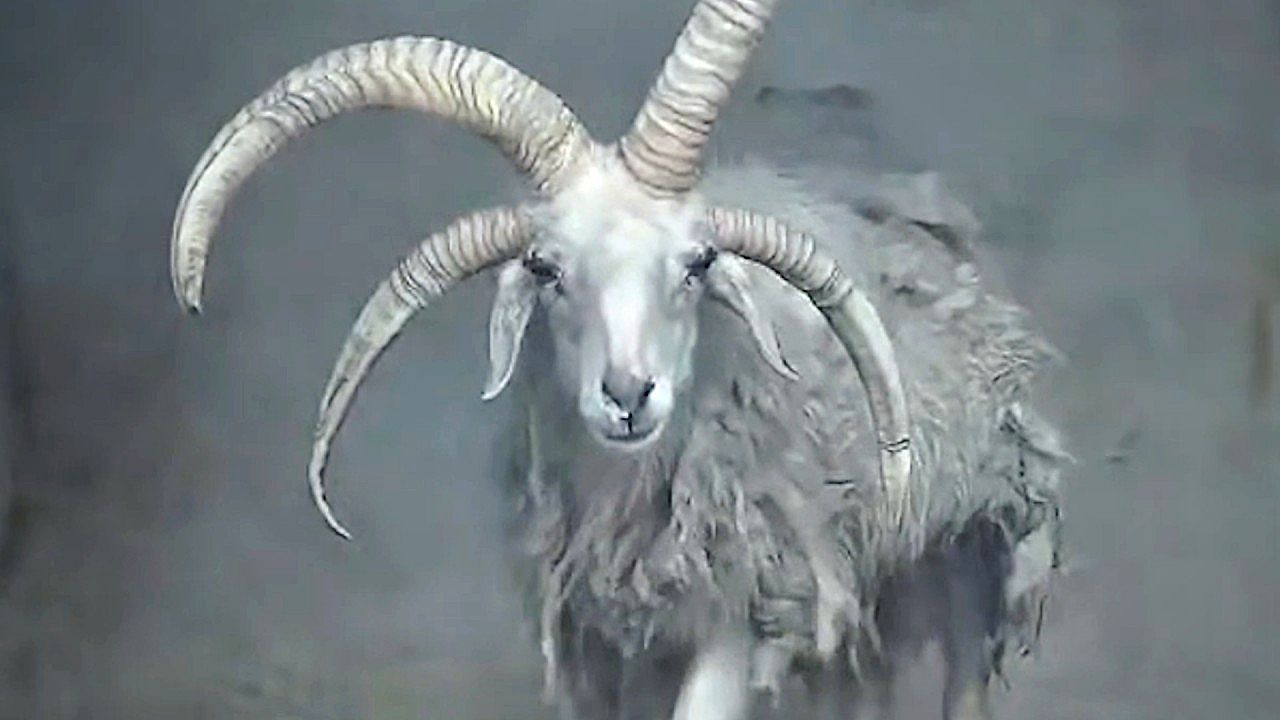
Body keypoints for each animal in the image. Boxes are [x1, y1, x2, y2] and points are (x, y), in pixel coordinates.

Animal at [167, 2, 1066, 718]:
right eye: (545, 268)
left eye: (698, 263)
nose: (629, 395)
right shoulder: (595, 640)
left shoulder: (743, 606)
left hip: (972, 548)